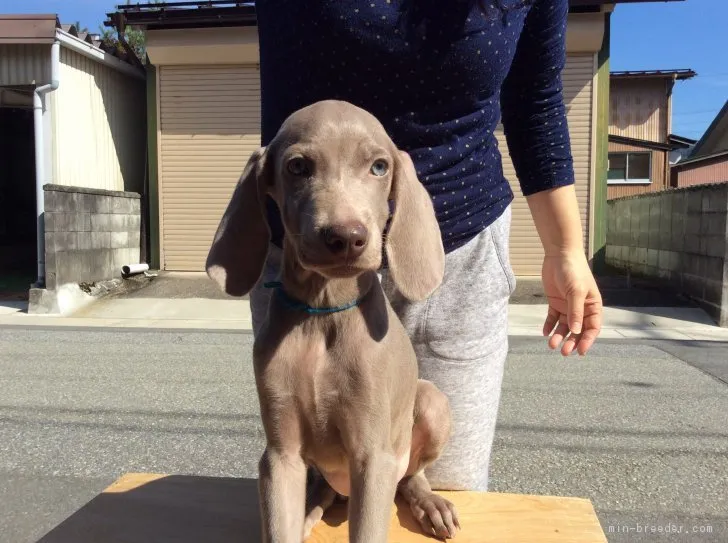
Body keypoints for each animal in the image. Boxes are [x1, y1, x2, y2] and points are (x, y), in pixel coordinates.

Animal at [205, 100, 460, 540]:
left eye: (379, 166)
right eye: (297, 167)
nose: (346, 237)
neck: (322, 314)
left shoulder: (372, 456)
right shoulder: (280, 455)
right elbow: (279, 526)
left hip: (430, 402)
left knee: (411, 475)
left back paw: (430, 502)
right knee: (321, 493)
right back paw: (311, 510)